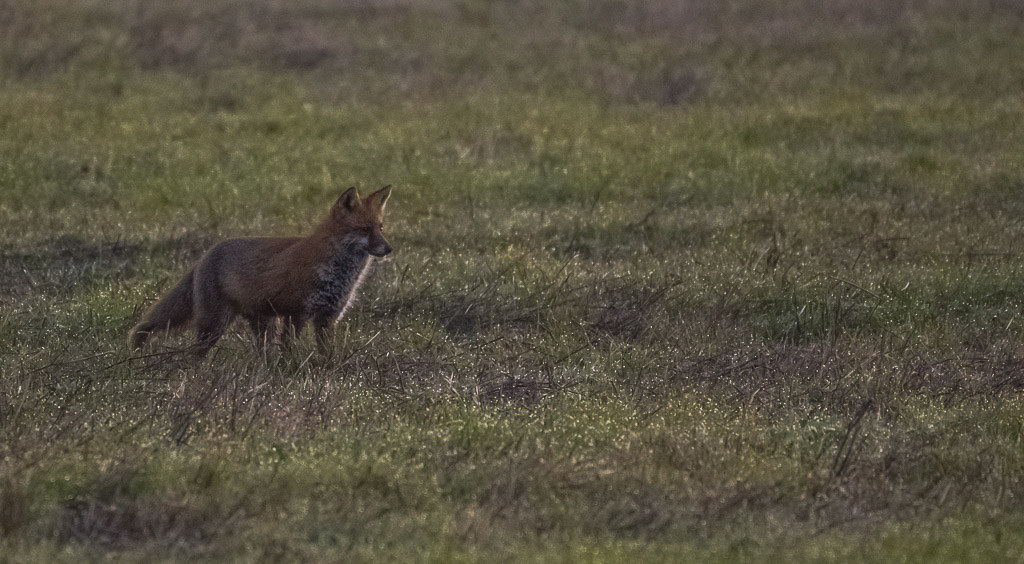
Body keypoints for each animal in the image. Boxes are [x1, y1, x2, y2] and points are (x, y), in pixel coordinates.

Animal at [127, 185, 392, 357]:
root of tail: (206, 254)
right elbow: (289, 351)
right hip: (214, 324)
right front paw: (290, 370)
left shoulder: (327, 318)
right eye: (364, 229)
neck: (337, 272)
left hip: (263, 324)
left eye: (380, 228)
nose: (388, 249)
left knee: (261, 354)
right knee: (194, 354)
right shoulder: (296, 313)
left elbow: (327, 356)